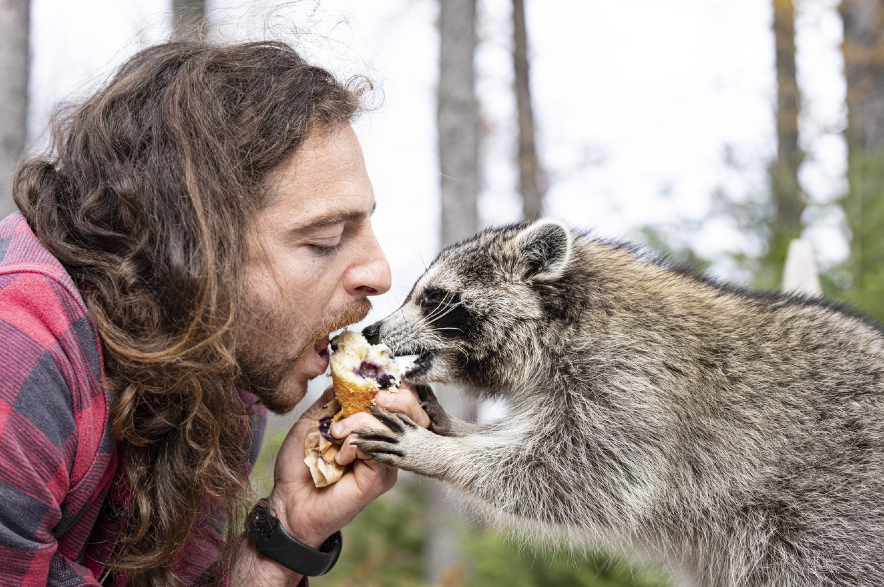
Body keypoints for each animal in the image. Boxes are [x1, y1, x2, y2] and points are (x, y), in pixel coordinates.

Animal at [353, 219, 884, 587]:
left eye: (433, 297)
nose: (371, 330)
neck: (566, 322)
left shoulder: (632, 384)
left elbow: (578, 475)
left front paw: (442, 453)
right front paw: (458, 431)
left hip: (831, 523)